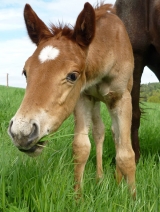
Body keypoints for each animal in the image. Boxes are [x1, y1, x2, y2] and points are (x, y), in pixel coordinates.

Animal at [8, 2, 136, 195]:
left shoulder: (122, 98)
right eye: (25, 71)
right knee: (99, 131)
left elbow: (126, 154)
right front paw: (78, 196)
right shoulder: (82, 97)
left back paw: (117, 179)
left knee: (116, 135)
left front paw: (133, 198)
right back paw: (99, 179)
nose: (21, 132)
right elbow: (81, 147)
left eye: (73, 76)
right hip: (95, 101)